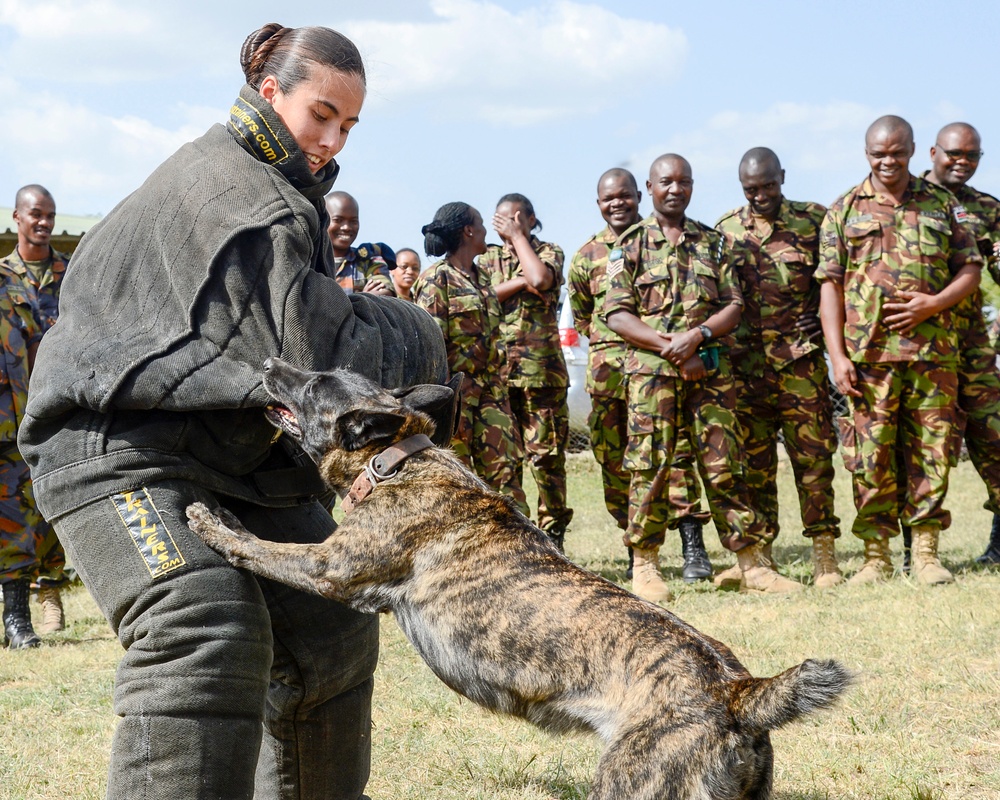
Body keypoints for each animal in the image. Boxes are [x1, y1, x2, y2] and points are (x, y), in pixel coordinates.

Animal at [188, 358, 852, 800]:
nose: (268, 362)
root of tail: (738, 694)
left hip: (632, 781)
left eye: (315, 384)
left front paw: (214, 523)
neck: (397, 460)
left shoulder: (329, 569)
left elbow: (264, 548)